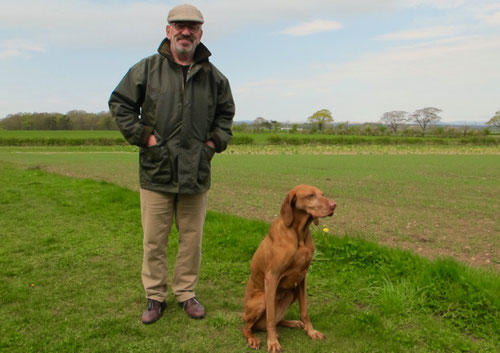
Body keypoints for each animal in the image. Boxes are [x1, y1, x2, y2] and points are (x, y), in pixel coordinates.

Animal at [241, 183, 336, 350]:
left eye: (323, 194)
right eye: (310, 195)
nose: (334, 205)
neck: (299, 234)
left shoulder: (302, 277)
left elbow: (304, 311)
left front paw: (311, 332)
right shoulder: (271, 277)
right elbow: (270, 317)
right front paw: (272, 342)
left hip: (291, 293)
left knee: (272, 322)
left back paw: (293, 323)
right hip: (260, 301)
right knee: (248, 327)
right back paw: (253, 339)